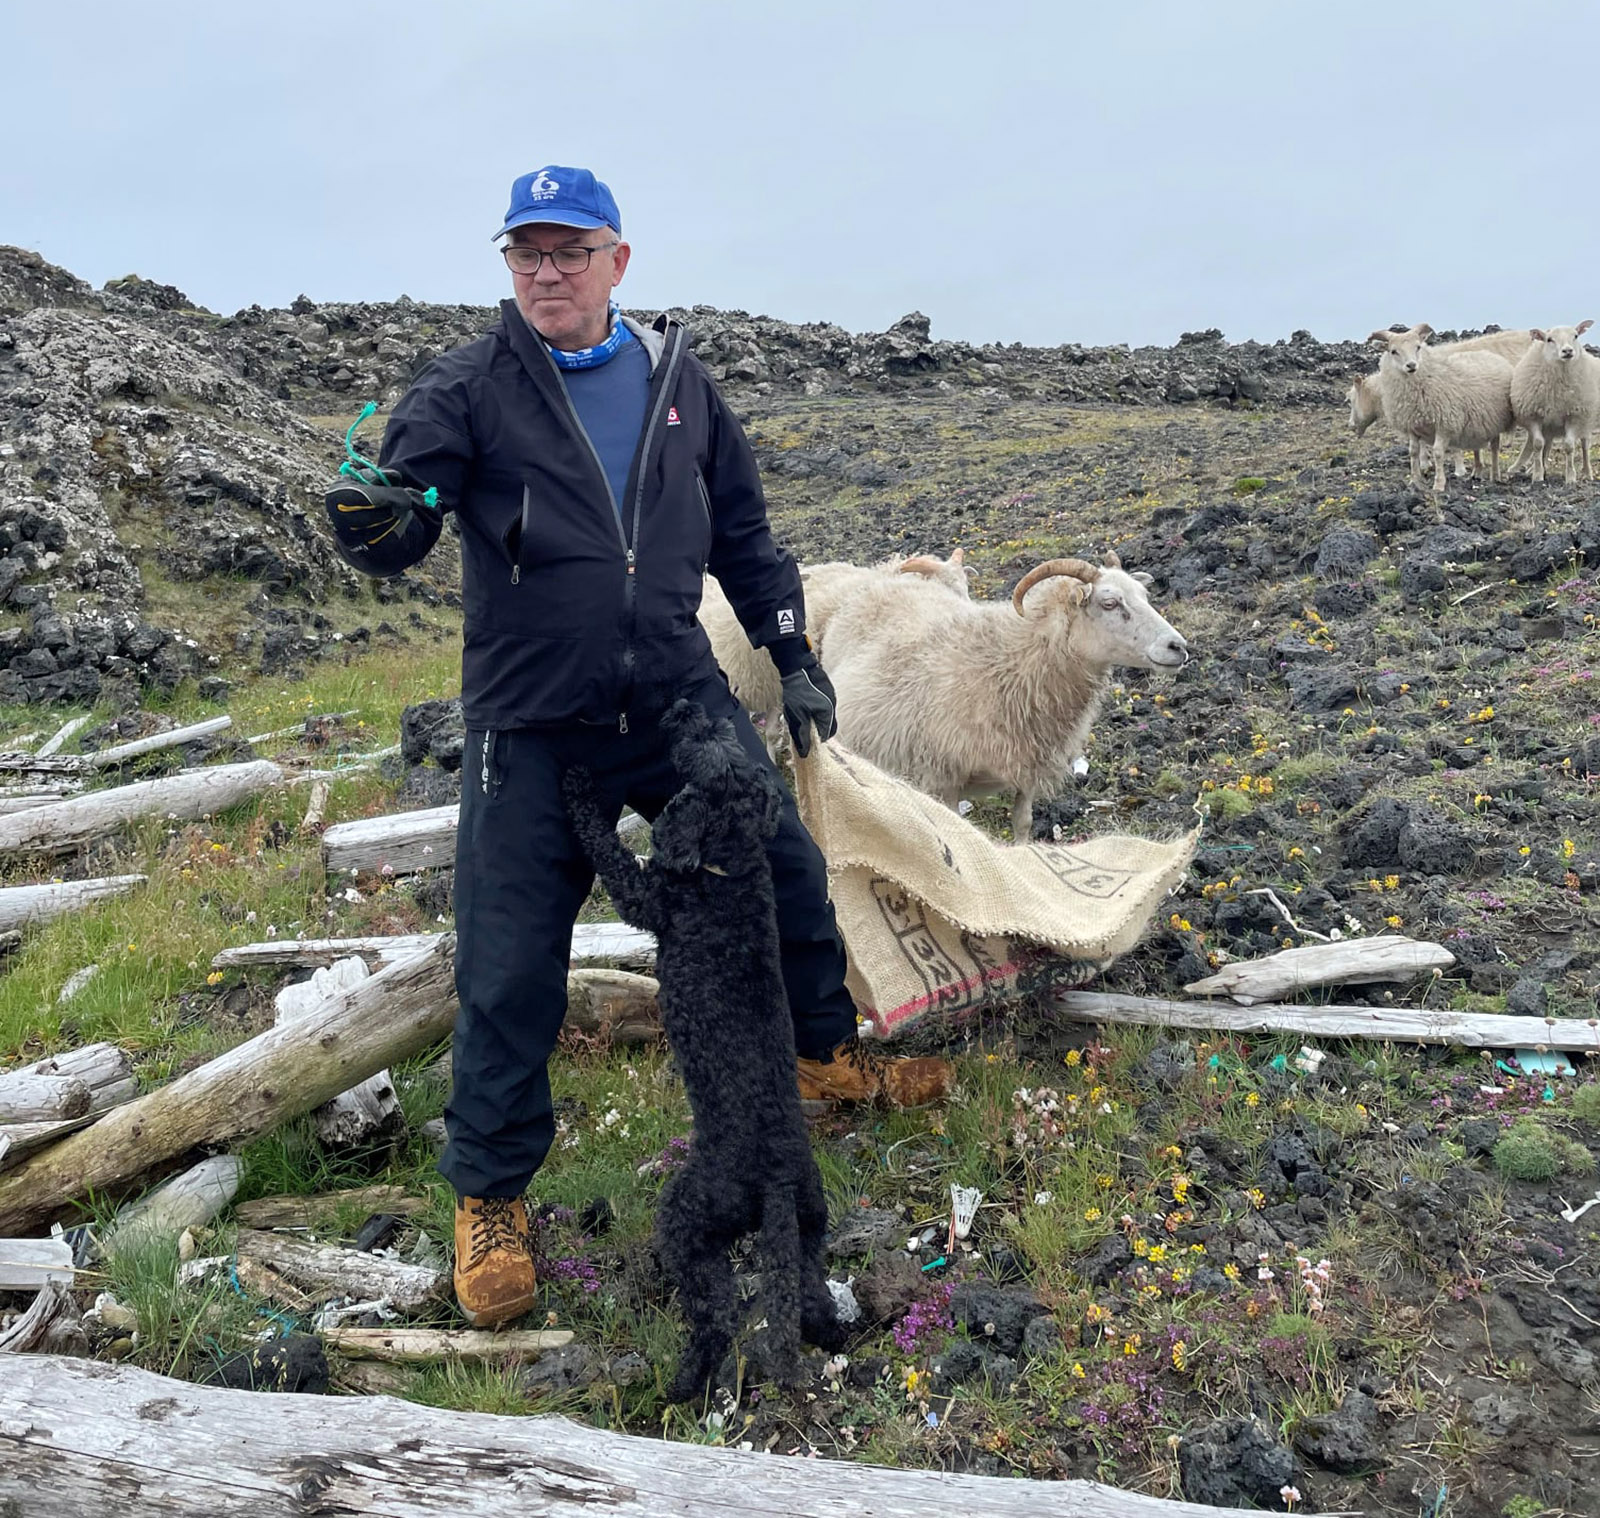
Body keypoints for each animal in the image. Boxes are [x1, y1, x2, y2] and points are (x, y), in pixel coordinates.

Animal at [563, 697, 844, 1394]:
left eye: (708, 745)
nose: (686, 704)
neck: (734, 866)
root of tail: (775, 1180)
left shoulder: (646, 897)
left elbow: (606, 846)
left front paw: (577, 782)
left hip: (690, 1217)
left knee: (715, 1314)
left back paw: (684, 1381)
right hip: (810, 1227)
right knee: (810, 1296)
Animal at [825, 553, 1190, 838]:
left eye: (1144, 596)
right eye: (1110, 603)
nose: (1179, 647)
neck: (1011, 658)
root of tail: (881, 580)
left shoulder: (1029, 764)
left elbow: (1023, 822)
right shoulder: (943, 776)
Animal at [1504, 321, 1593, 483]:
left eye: (1576, 336)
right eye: (1549, 339)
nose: (1567, 351)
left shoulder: (1574, 416)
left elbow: (1569, 446)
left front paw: (1571, 477)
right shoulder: (1534, 416)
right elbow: (1539, 444)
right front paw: (1538, 475)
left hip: (1584, 418)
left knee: (1585, 443)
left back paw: (1587, 473)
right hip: (1550, 423)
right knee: (1547, 444)